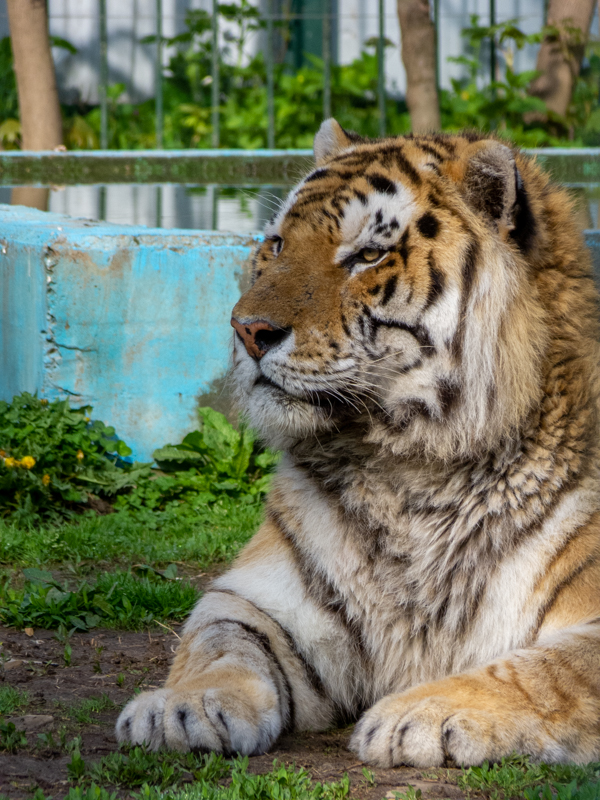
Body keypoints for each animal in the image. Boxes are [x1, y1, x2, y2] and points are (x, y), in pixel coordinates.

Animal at [116, 120, 600, 767]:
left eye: (369, 254)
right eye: (276, 244)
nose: (247, 330)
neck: (409, 469)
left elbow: (545, 670)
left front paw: (419, 713)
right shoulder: (262, 602)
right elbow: (220, 643)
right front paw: (181, 707)